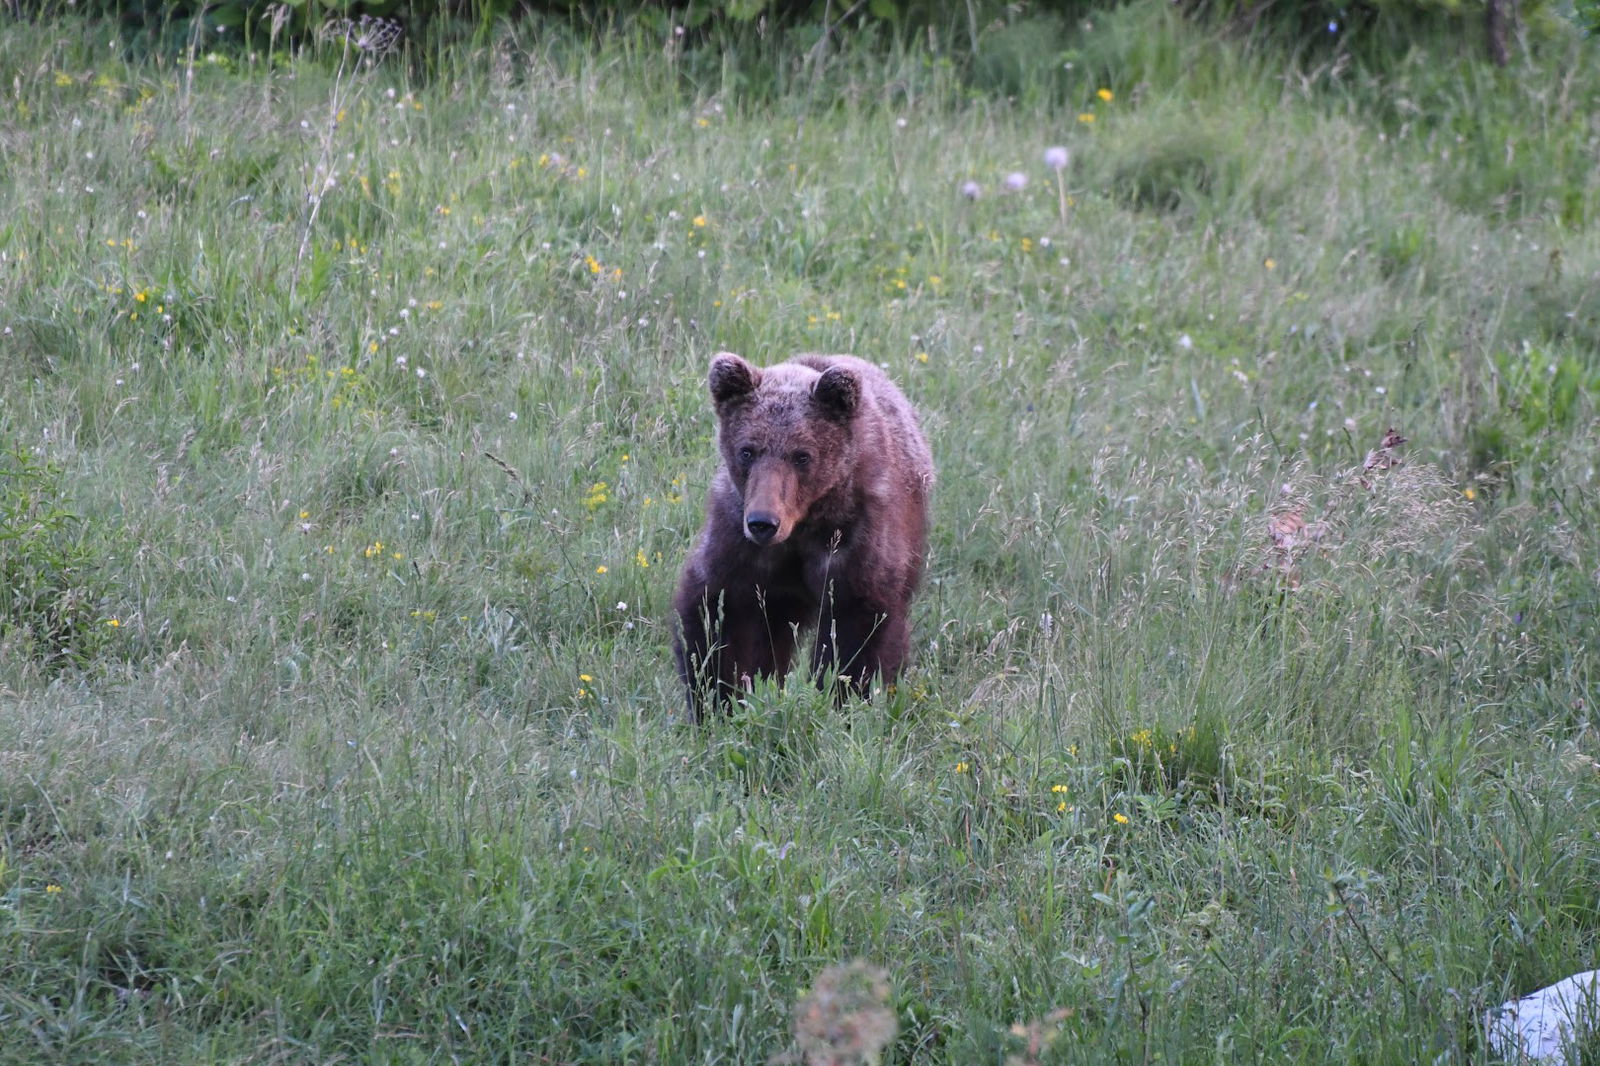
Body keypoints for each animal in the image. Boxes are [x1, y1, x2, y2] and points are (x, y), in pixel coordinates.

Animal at [668, 352, 934, 717]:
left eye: (802, 455)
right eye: (747, 450)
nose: (763, 522)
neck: (802, 527)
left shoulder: (855, 539)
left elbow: (855, 626)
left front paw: (841, 697)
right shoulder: (738, 544)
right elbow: (718, 615)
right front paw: (719, 700)